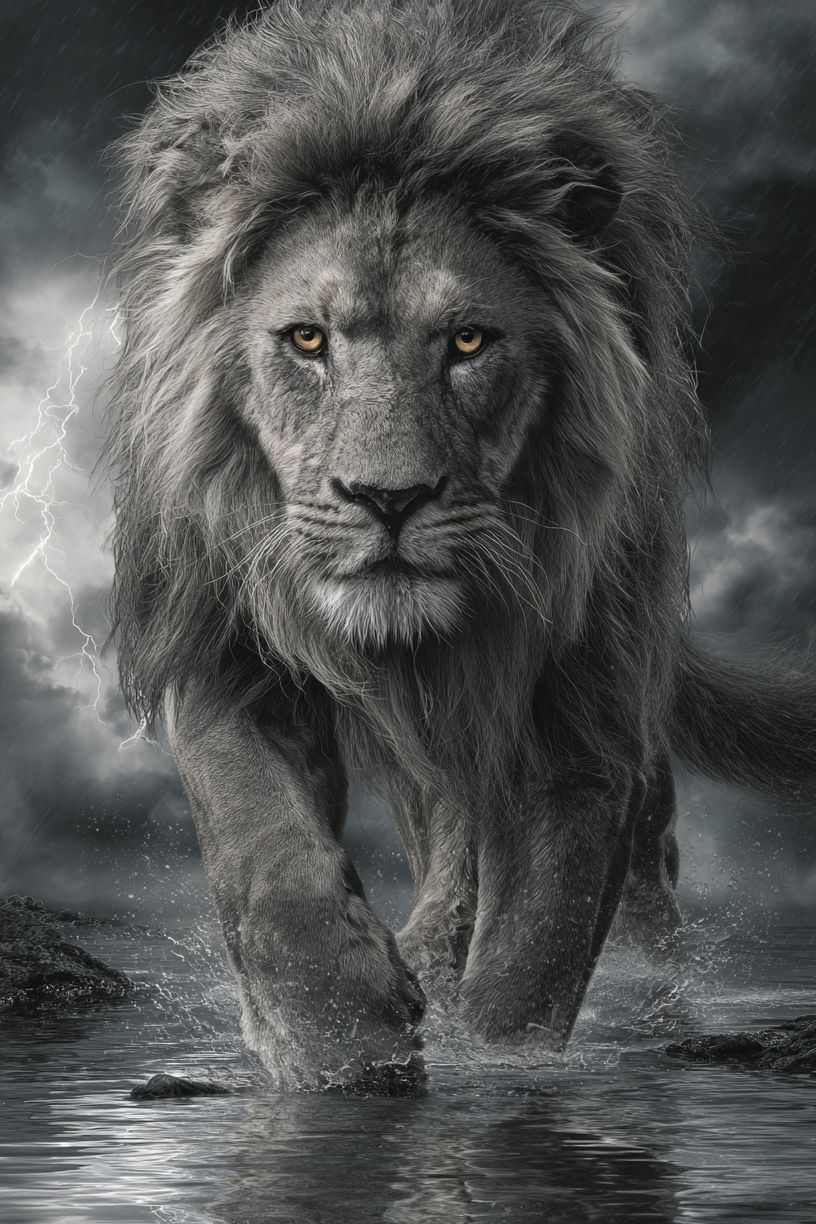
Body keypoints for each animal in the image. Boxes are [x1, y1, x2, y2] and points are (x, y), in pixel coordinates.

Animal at [104, 0, 816, 1089]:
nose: (387, 499)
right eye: (307, 339)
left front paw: (498, 1064)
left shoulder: (583, 692)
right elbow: (258, 842)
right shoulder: (218, 630)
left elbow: (543, 932)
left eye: (470, 341)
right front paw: (340, 1039)